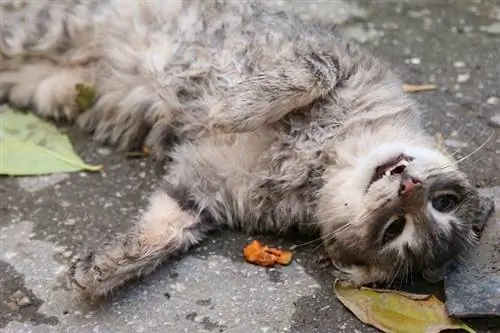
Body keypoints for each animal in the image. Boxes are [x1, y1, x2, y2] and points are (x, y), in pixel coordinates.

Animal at [0, 0, 480, 300]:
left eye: (396, 230)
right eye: (444, 201)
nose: (409, 187)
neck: (321, 162)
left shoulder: (201, 191)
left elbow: (163, 231)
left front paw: (104, 269)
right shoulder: (331, 57)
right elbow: (307, 75)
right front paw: (230, 108)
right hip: (40, 28)